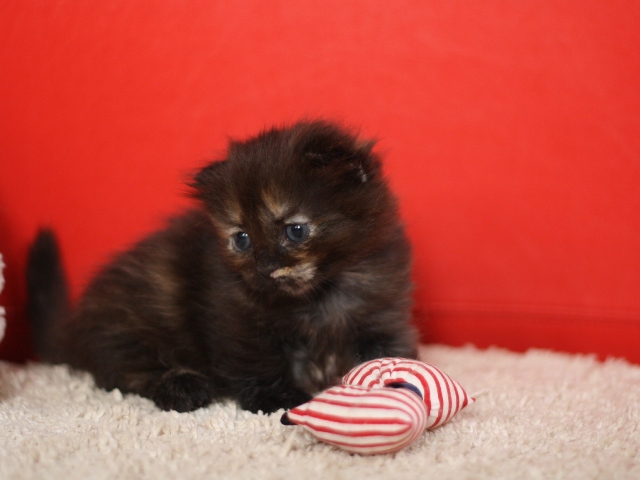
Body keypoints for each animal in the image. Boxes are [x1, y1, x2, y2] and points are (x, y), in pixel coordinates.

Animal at [27, 120, 418, 412]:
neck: (320, 296)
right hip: (129, 325)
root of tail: (72, 328)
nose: (265, 268)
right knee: (127, 370)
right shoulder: (236, 317)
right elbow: (256, 359)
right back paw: (183, 387)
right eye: (241, 238)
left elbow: (391, 350)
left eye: (295, 230)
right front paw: (275, 397)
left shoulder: (381, 310)